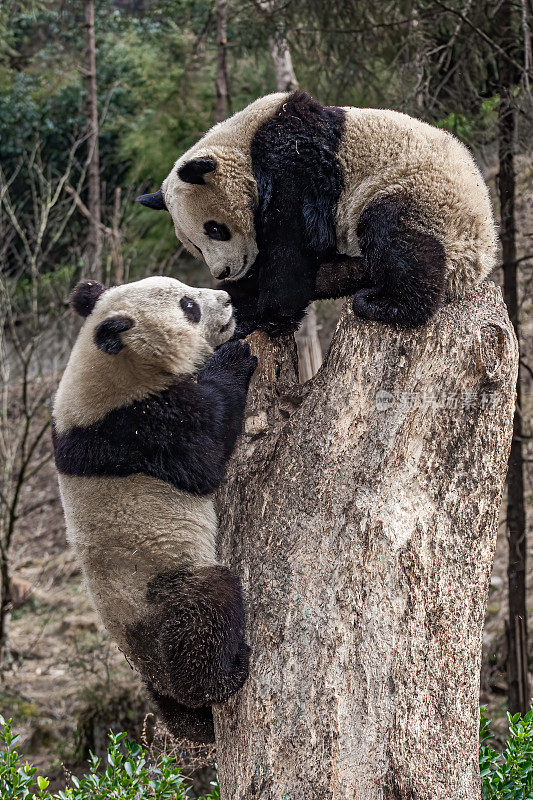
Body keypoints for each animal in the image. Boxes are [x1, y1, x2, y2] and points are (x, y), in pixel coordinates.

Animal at [52, 276, 258, 744]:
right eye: (188, 306)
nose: (227, 300)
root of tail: (155, 667)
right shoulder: (138, 427)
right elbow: (204, 451)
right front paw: (234, 358)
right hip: (161, 592)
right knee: (207, 609)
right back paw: (223, 677)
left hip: (146, 662)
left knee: (167, 703)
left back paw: (194, 722)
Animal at [139, 90, 496, 338]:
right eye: (195, 248)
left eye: (214, 229)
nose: (223, 271)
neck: (244, 142)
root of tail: (480, 261)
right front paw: (236, 300)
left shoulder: (295, 162)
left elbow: (293, 246)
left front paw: (263, 316)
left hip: (427, 198)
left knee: (397, 238)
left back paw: (387, 304)